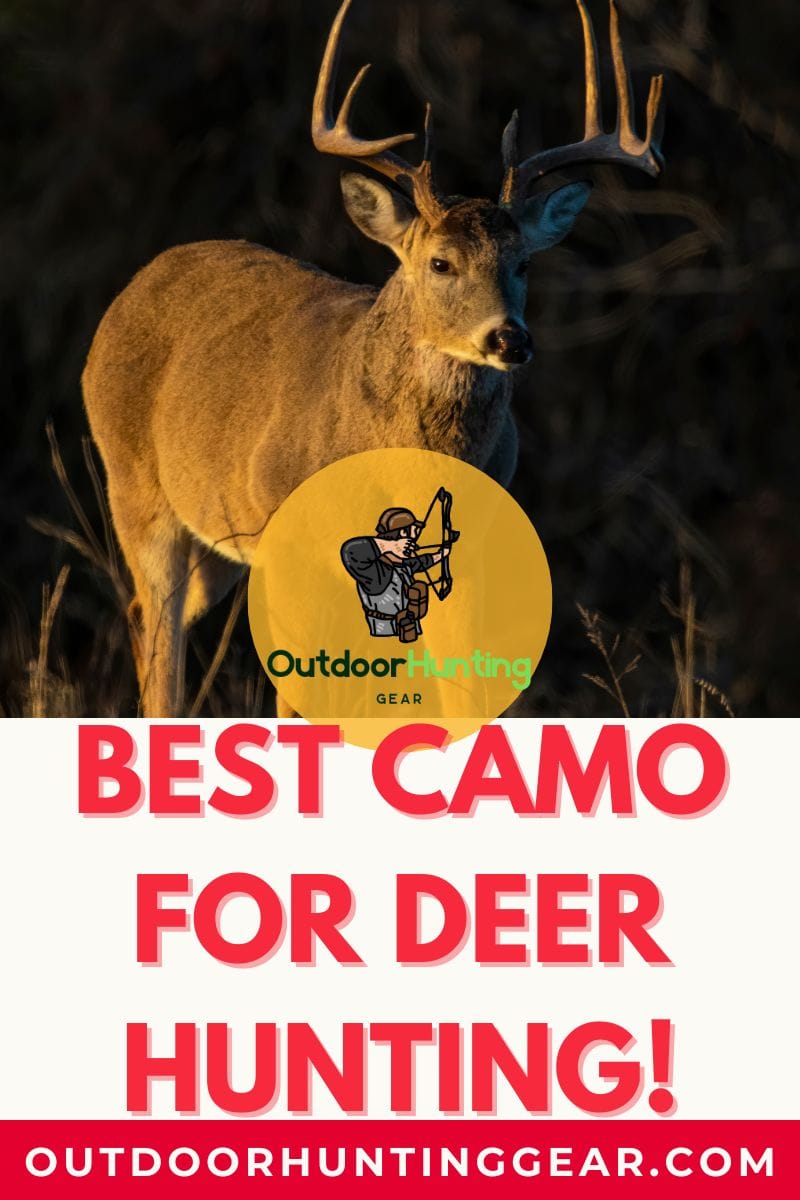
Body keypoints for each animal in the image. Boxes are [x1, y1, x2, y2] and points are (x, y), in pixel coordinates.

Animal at [82, 0, 664, 718]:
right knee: (160, 635)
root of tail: (132, 290)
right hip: (136, 489)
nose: (510, 339)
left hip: (212, 541)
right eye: (440, 263)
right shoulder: (290, 546)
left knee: (145, 618)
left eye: (523, 263)